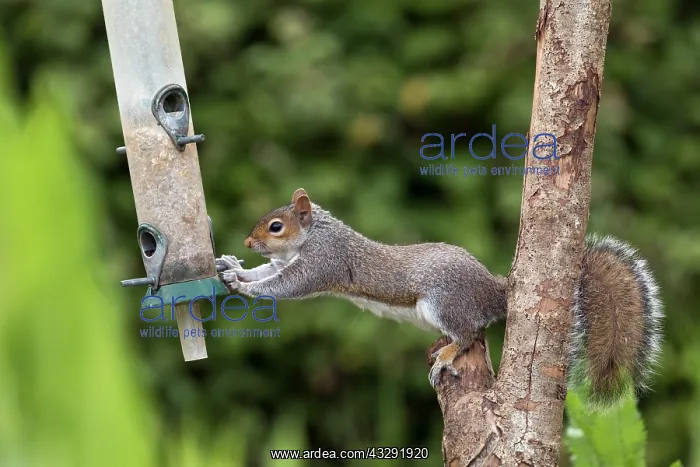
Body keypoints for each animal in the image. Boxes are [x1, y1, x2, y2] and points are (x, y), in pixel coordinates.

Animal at [216, 188, 663, 410]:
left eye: (276, 226)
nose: (248, 242)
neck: (313, 236)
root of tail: (494, 290)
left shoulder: (323, 263)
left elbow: (284, 286)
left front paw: (246, 288)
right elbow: (268, 273)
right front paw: (233, 269)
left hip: (443, 302)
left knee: (469, 335)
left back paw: (447, 354)